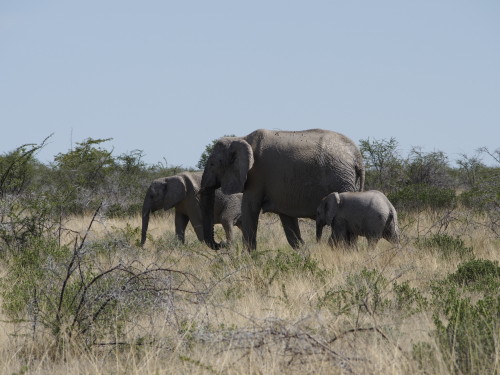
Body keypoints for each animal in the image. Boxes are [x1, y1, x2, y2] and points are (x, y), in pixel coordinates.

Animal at [199, 130, 364, 253]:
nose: (222, 243)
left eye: (212, 164)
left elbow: (250, 208)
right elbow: (287, 219)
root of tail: (357, 157)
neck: (240, 138)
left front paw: (248, 258)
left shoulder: (257, 175)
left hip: (340, 180)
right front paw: (303, 252)